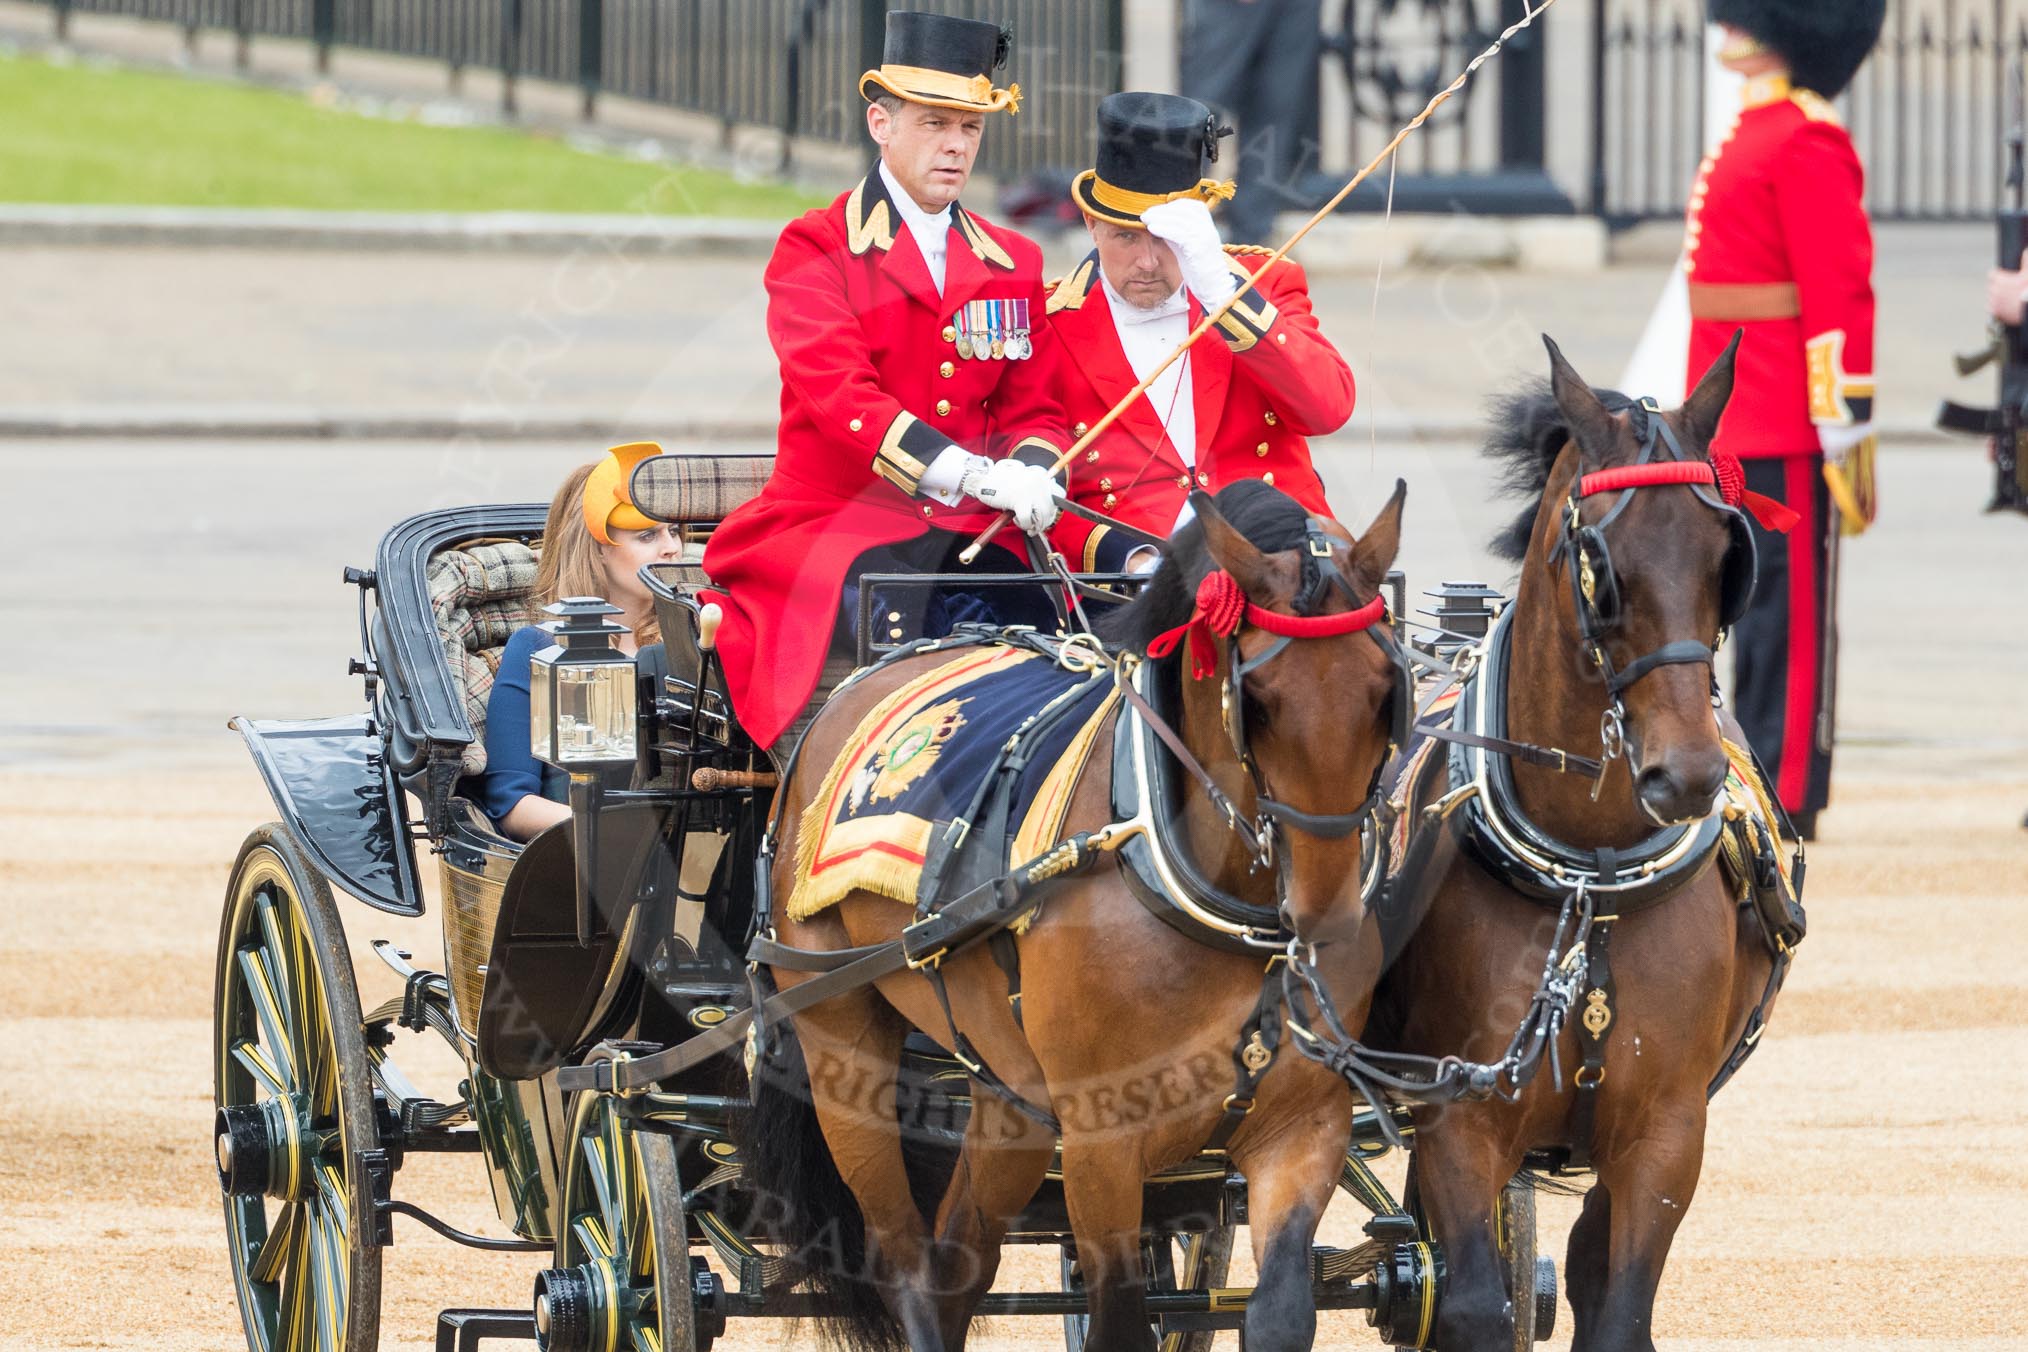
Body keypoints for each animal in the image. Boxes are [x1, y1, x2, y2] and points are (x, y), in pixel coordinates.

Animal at [746, 484, 1411, 1352]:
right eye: (1258, 701)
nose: (1324, 918)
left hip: (1007, 1086)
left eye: (1384, 689)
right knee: (904, 1264)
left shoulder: (1300, 1125)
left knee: (957, 1262)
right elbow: (1120, 1319)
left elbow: (1281, 1313)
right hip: (841, 1043)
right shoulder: (1102, 1144)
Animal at [1379, 330, 1792, 1352]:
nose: (1687, 775)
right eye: (1599, 559)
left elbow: (1618, 1308)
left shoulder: (1665, 1137)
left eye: (1726, 555)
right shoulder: (1460, 1121)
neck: (1589, 878)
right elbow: (1471, 1307)